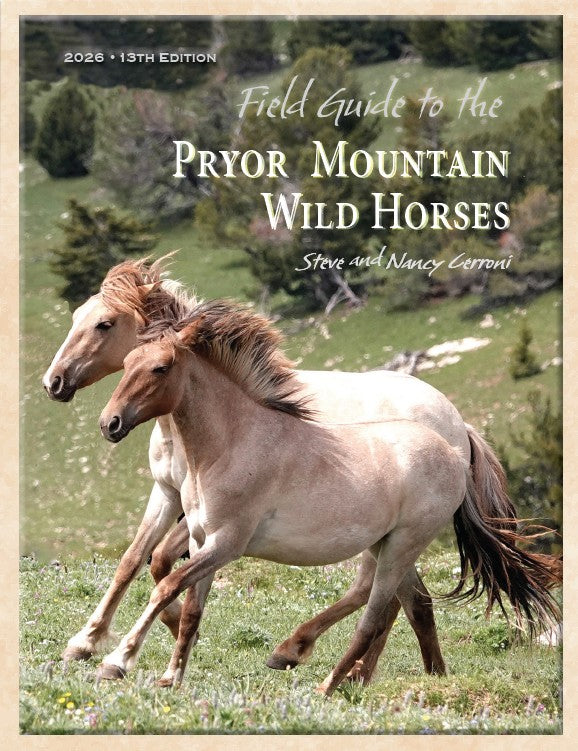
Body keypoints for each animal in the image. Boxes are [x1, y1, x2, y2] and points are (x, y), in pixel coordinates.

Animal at [42, 257, 516, 681]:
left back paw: (333, 667)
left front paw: (121, 652)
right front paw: (92, 643)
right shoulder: (170, 496)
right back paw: (392, 669)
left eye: (104, 324)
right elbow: (137, 563)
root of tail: (456, 431)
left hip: (399, 539)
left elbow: (162, 572)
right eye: (76, 316)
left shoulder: (219, 532)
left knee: (386, 602)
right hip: (384, 540)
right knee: (401, 599)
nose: (54, 382)